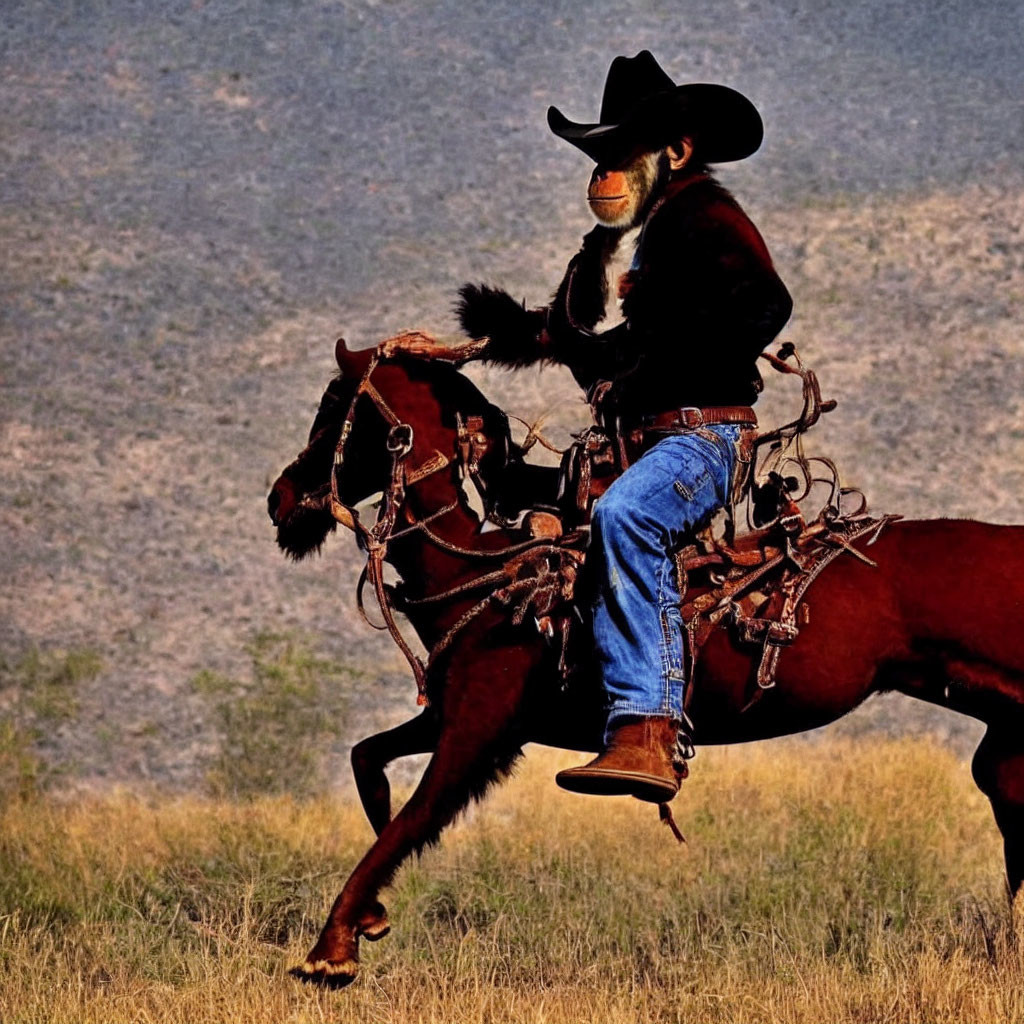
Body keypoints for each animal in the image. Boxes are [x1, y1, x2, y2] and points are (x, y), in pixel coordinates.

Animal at [268, 339, 1024, 987]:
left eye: (336, 408)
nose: (280, 498)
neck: (481, 572)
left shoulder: (477, 732)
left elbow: (408, 823)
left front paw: (331, 950)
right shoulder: (462, 716)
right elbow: (368, 760)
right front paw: (369, 920)